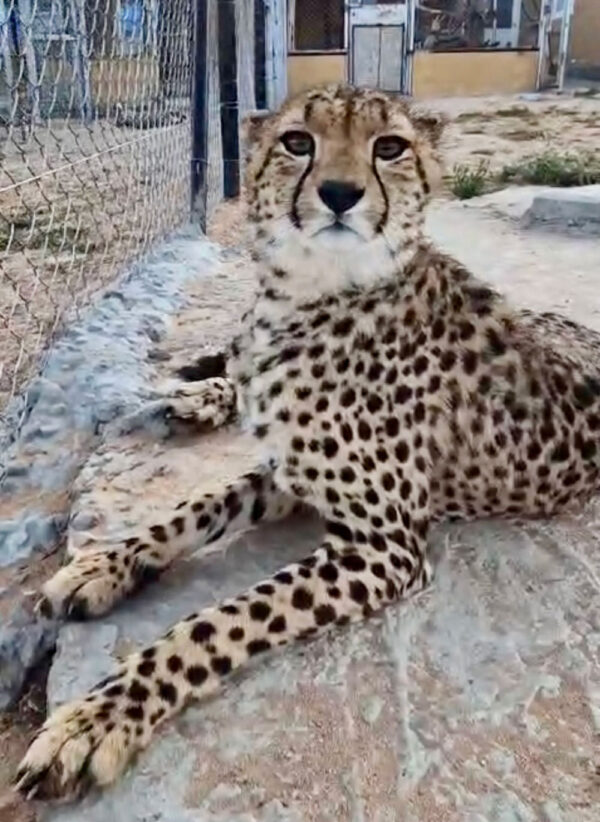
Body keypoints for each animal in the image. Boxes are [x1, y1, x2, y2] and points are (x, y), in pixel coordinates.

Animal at [16, 84, 600, 801]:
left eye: (390, 147)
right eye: (298, 141)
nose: (341, 193)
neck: (307, 293)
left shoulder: (381, 548)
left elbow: (218, 622)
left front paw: (101, 718)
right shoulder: (288, 473)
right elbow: (194, 509)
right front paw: (104, 565)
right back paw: (200, 393)